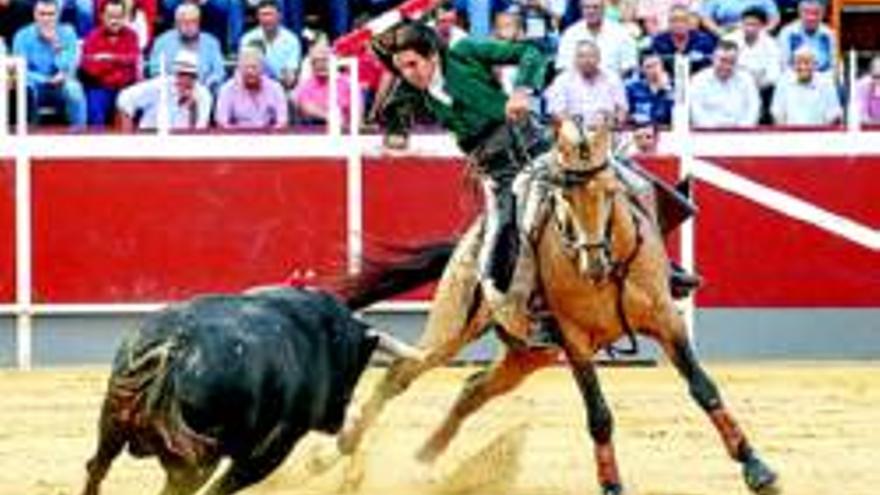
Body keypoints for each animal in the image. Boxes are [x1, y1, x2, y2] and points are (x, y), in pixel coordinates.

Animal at [81, 244, 454, 495]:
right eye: (354, 369)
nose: (337, 421)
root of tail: (176, 347)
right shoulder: (273, 448)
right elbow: (227, 486)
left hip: (112, 423)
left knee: (97, 467)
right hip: (195, 462)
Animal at [336, 117, 776, 495]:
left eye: (610, 191)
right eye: (563, 196)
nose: (593, 262)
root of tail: (470, 239)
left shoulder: (667, 320)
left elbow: (704, 387)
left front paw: (756, 468)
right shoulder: (575, 341)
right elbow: (599, 415)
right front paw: (611, 484)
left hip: (530, 353)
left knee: (474, 388)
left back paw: (422, 458)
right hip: (453, 328)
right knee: (402, 371)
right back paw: (344, 447)